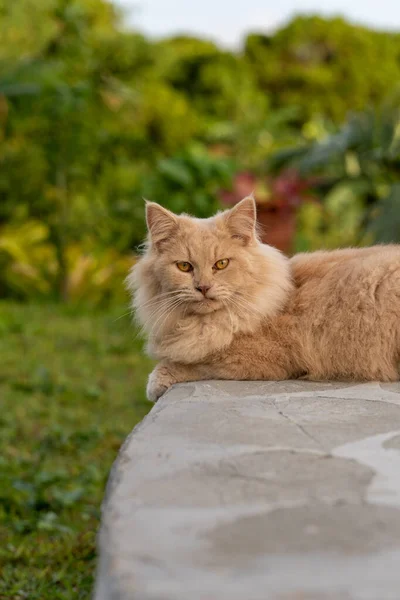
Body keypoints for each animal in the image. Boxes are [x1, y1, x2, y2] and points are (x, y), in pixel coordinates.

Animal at [127, 198, 400, 404]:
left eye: (221, 264)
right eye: (184, 266)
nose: (203, 287)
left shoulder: (254, 359)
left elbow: (193, 362)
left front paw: (157, 381)